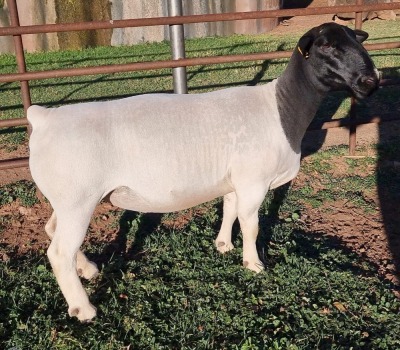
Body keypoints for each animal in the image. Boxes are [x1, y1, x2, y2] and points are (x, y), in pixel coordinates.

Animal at [27, 22, 378, 322]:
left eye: (356, 39)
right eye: (326, 45)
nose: (370, 81)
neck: (281, 109)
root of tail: (43, 118)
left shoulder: (235, 179)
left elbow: (230, 209)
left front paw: (223, 246)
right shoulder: (253, 180)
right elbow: (250, 224)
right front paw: (253, 263)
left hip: (65, 198)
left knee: (52, 229)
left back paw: (88, 269)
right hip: (78, 197)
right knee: (59, 251)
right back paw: (83, 309)